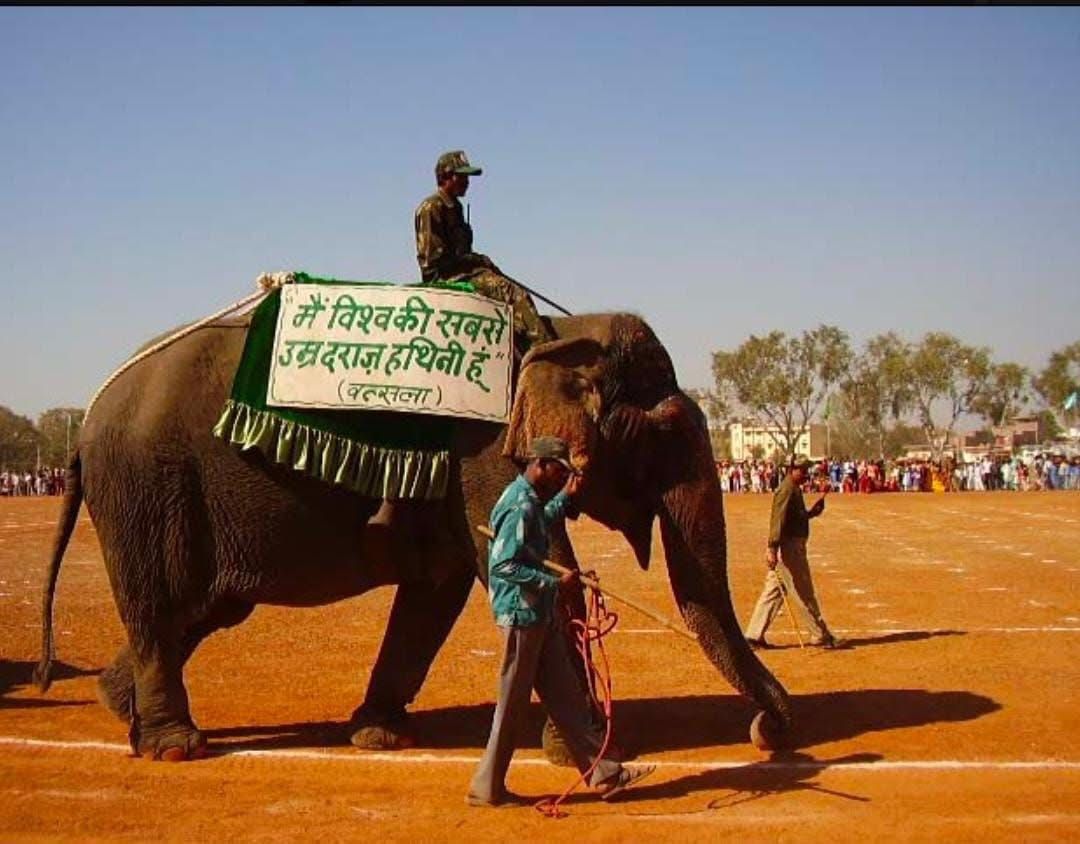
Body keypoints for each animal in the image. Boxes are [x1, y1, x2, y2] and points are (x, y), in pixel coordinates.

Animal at [34, 307, 792, 761]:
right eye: (667, 432)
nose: (769, 733)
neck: (559, 325)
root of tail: (89, 414)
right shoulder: (483, 452)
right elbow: (531, 570)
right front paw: (581, 747)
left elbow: (437, 593)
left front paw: (379, 735)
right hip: (147, 487)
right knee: (161, 604)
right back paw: (175, 746)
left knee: (203, 608)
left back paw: (122, 710)